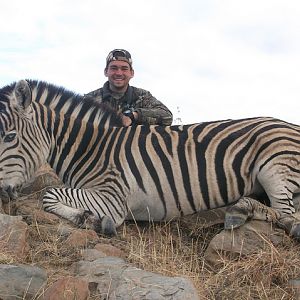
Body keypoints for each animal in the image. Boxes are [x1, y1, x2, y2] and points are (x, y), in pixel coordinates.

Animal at [0, 78, 300, 238]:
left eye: (9, 136)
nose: (2, 194)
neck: (92, 148)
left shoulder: (113, 198)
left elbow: (48, 194)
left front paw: (92, 220)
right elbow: (51, 196)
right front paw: (86, 217)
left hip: (274, 167)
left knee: (287, 214)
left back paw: (242, 213)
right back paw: (240, 209)